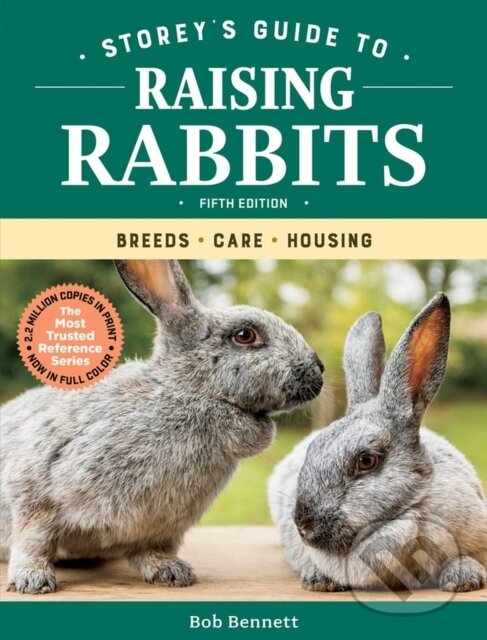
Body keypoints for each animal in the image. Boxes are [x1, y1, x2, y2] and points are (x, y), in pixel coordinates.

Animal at [0, 259, 324, 594]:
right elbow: (33, 541)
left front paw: (171, 572)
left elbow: (152, 551)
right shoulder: (35, 487)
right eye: (245, 335)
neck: (187, 392)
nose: (319, 370)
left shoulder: (161, 528)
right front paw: (31, 580)